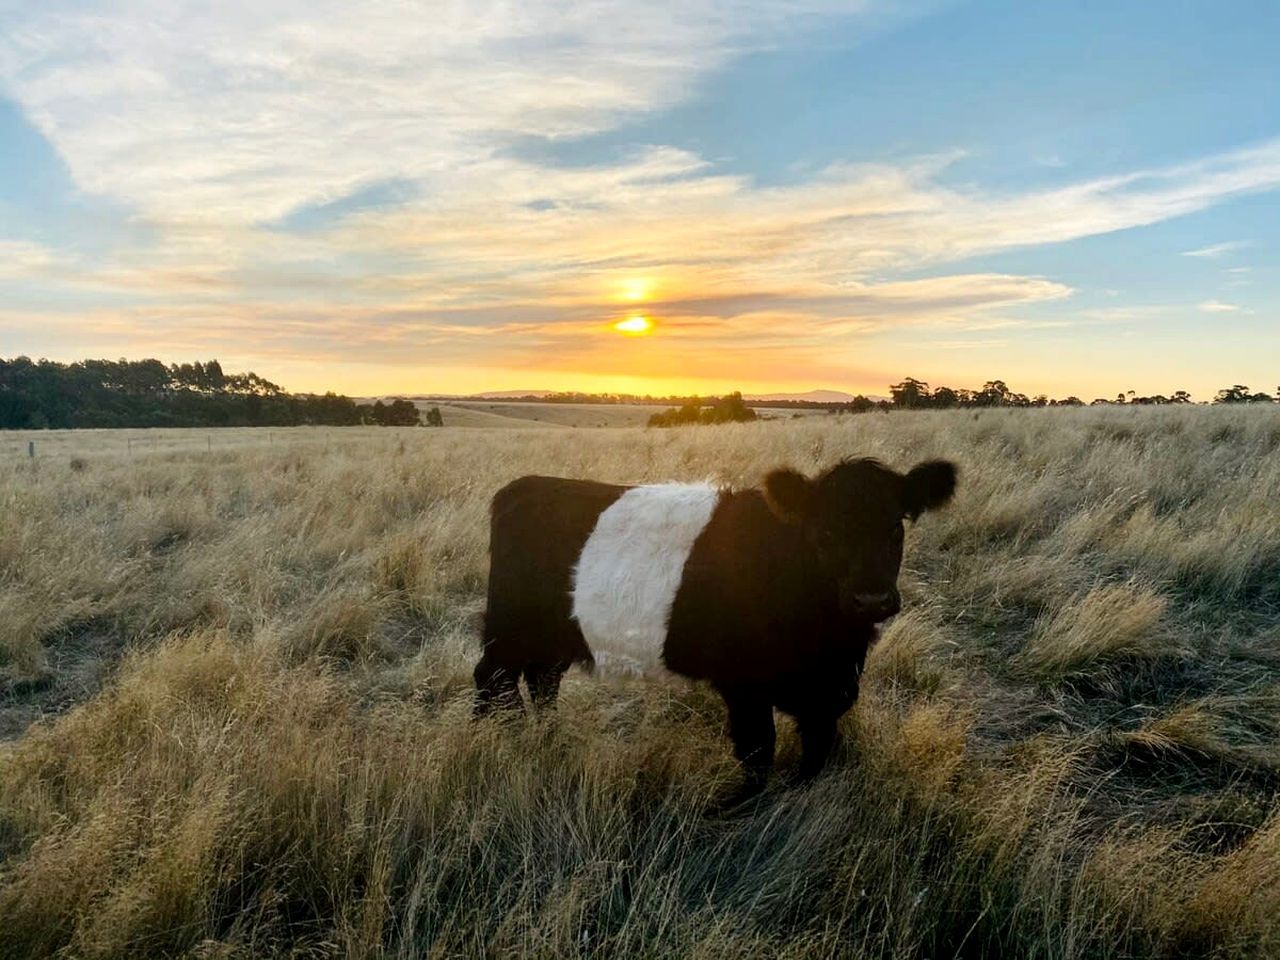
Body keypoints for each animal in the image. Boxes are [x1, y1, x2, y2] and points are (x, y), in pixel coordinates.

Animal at [474, 457, 958, 799]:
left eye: (896, 528)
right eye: (825, 533)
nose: (872, 599)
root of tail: (521, 485)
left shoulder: (825, 695)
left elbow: (814, 755)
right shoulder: (745, 686)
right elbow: (757, 751)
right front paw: (741, 807)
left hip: (552, 636)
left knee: (542, 681)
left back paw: (549, 735)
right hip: (508, 628)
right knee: (493, 678)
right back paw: (494, 737)